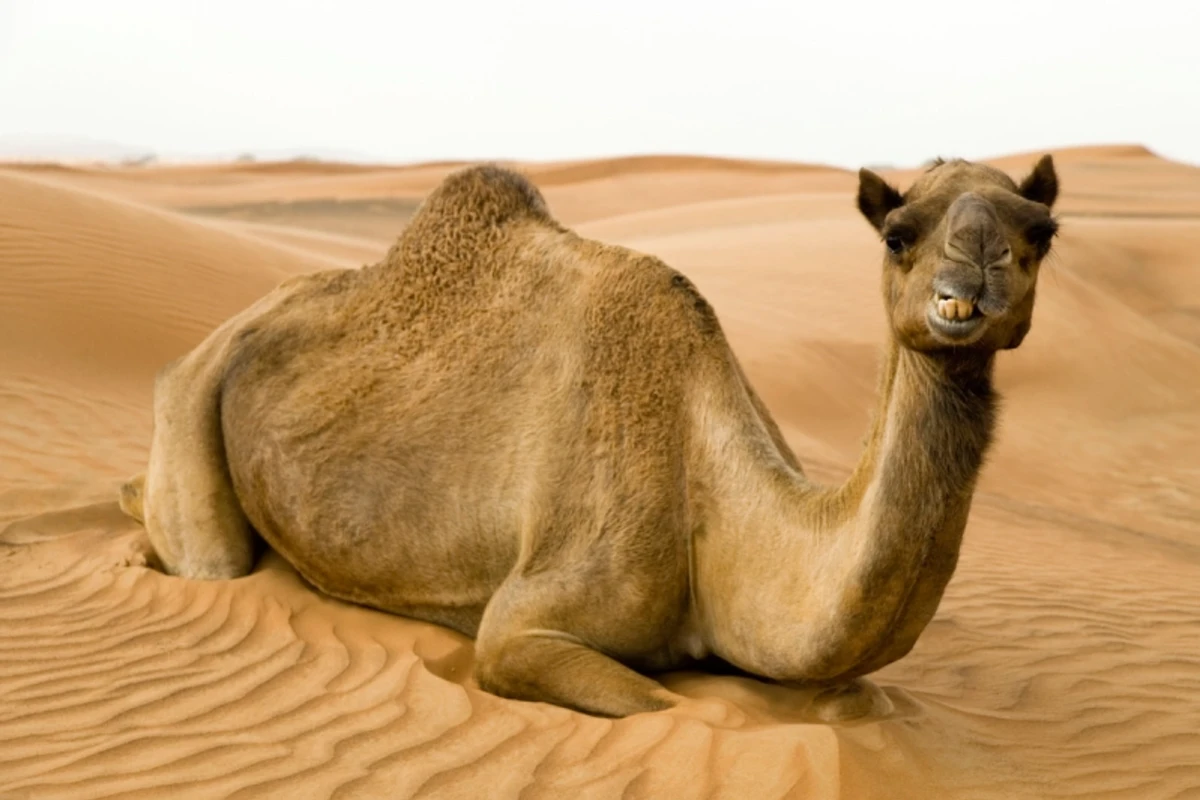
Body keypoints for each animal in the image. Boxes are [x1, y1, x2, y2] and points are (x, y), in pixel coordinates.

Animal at [119, 155, 1060, 721]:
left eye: (1041, 232)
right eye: (899, 234)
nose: (973, 270)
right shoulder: (523, 626)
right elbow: (665, 705)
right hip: (190, 399)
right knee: (207, 554)